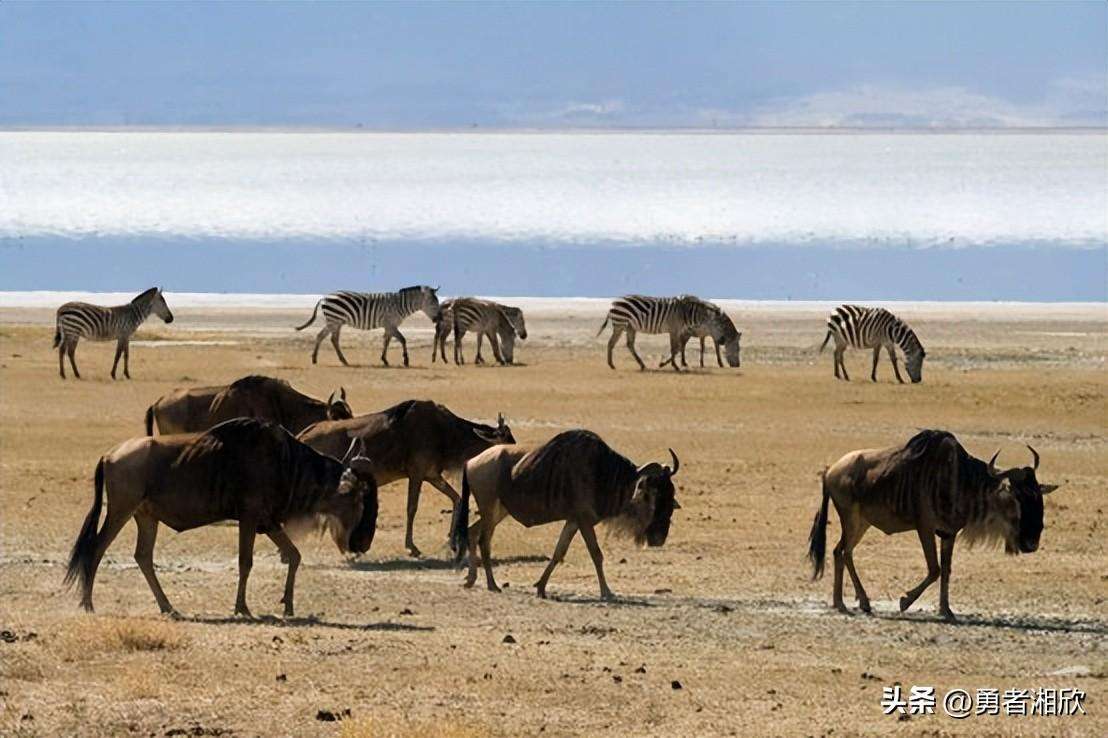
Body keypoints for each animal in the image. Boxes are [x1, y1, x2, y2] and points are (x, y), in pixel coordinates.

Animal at [299, 283, 445, 365]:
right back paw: (321, 359)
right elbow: (402, 340)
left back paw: (332, 360)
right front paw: (405, 360)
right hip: (334, 320)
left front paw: (384, 359)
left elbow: (386, 341)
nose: (440, 318)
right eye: (433, 303)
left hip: (336, 321)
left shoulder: (389, 326)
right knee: (325, 337)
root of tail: (324, 297)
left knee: (329, 338)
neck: (399, 305)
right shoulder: (390, 324)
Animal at [593, 292, 740, 370]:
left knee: (629, 345)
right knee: (611, 343)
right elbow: (675, 348)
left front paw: (671, 364)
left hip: (630, 327)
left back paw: (642, 365)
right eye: (720, 326)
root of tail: (614, 303)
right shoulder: (675, 329)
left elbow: (677, 348)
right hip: (620, 324)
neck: (687, 313)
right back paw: (612, 365)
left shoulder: (679, 331)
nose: (737, 365)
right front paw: (674, 366)